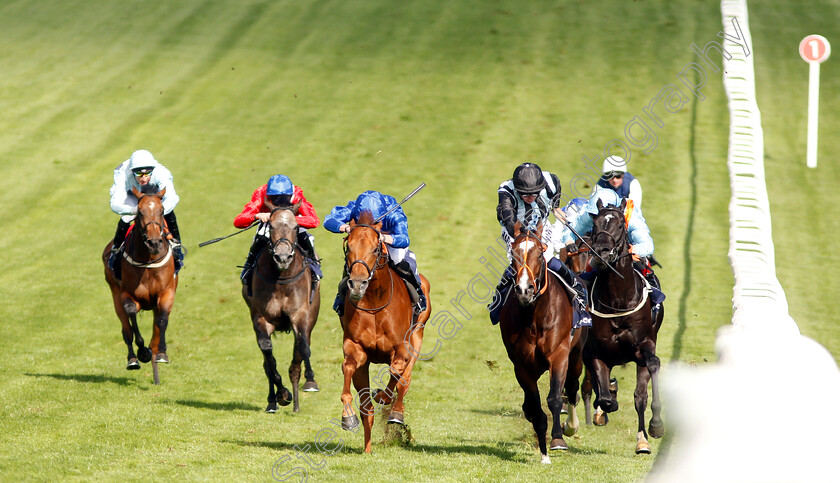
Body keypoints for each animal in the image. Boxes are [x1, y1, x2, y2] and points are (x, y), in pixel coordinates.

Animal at [104, 185, 179, 378]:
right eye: (140, 212)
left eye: (162, 211)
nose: (154, 242)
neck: (147, 261)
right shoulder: (126, 294)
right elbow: (131, 316)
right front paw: (143, 352)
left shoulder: (167, 292)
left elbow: (162, 321)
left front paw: (161, 353)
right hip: (114, 294)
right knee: (126, 329)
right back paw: (133, 359)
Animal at [244, 202, 324, 414]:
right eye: (271, 226)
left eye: (296, 227)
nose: (282, 257)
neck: (281, 280)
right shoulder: (261, 319)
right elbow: (268, 357)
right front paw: (282, 394)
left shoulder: (300, 315)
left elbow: (303, 347)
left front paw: (310, 381)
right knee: (267, 361)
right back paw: (273, 401)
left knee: (300, 352)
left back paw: (297, 402)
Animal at [334, 212, 430, 454]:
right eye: (348, 247)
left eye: (375, 249)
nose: (358, 284)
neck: (375, 301)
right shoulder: (355, 347)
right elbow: (348, 367)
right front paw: (347, 417)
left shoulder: (402, 348)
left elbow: (397, 373)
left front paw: (385, 399)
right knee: (366, 408)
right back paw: (367, 448)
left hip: (418, 336)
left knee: (405, 379)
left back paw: (395, 412)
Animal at [498, 223, 584, 466]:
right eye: (514, 253)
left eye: (539, 253)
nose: (524, 289)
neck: (534, 316)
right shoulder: (522, 365)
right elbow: (536, 407)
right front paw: (544, 452)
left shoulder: (559, 354)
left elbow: (554, 398)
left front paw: (556, 440)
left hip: (576, 355)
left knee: (572, 388)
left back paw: (571, 427)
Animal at [584, 199, 664, 456]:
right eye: (595, 224)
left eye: (620, 225)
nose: (601, 252)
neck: (618, 301)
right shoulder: (595, 351)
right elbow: (604, 395)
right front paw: (607, 403)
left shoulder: (644, 346)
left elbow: (650, 373)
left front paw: (655, 427)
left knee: (639, 395)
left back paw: (643, 440)